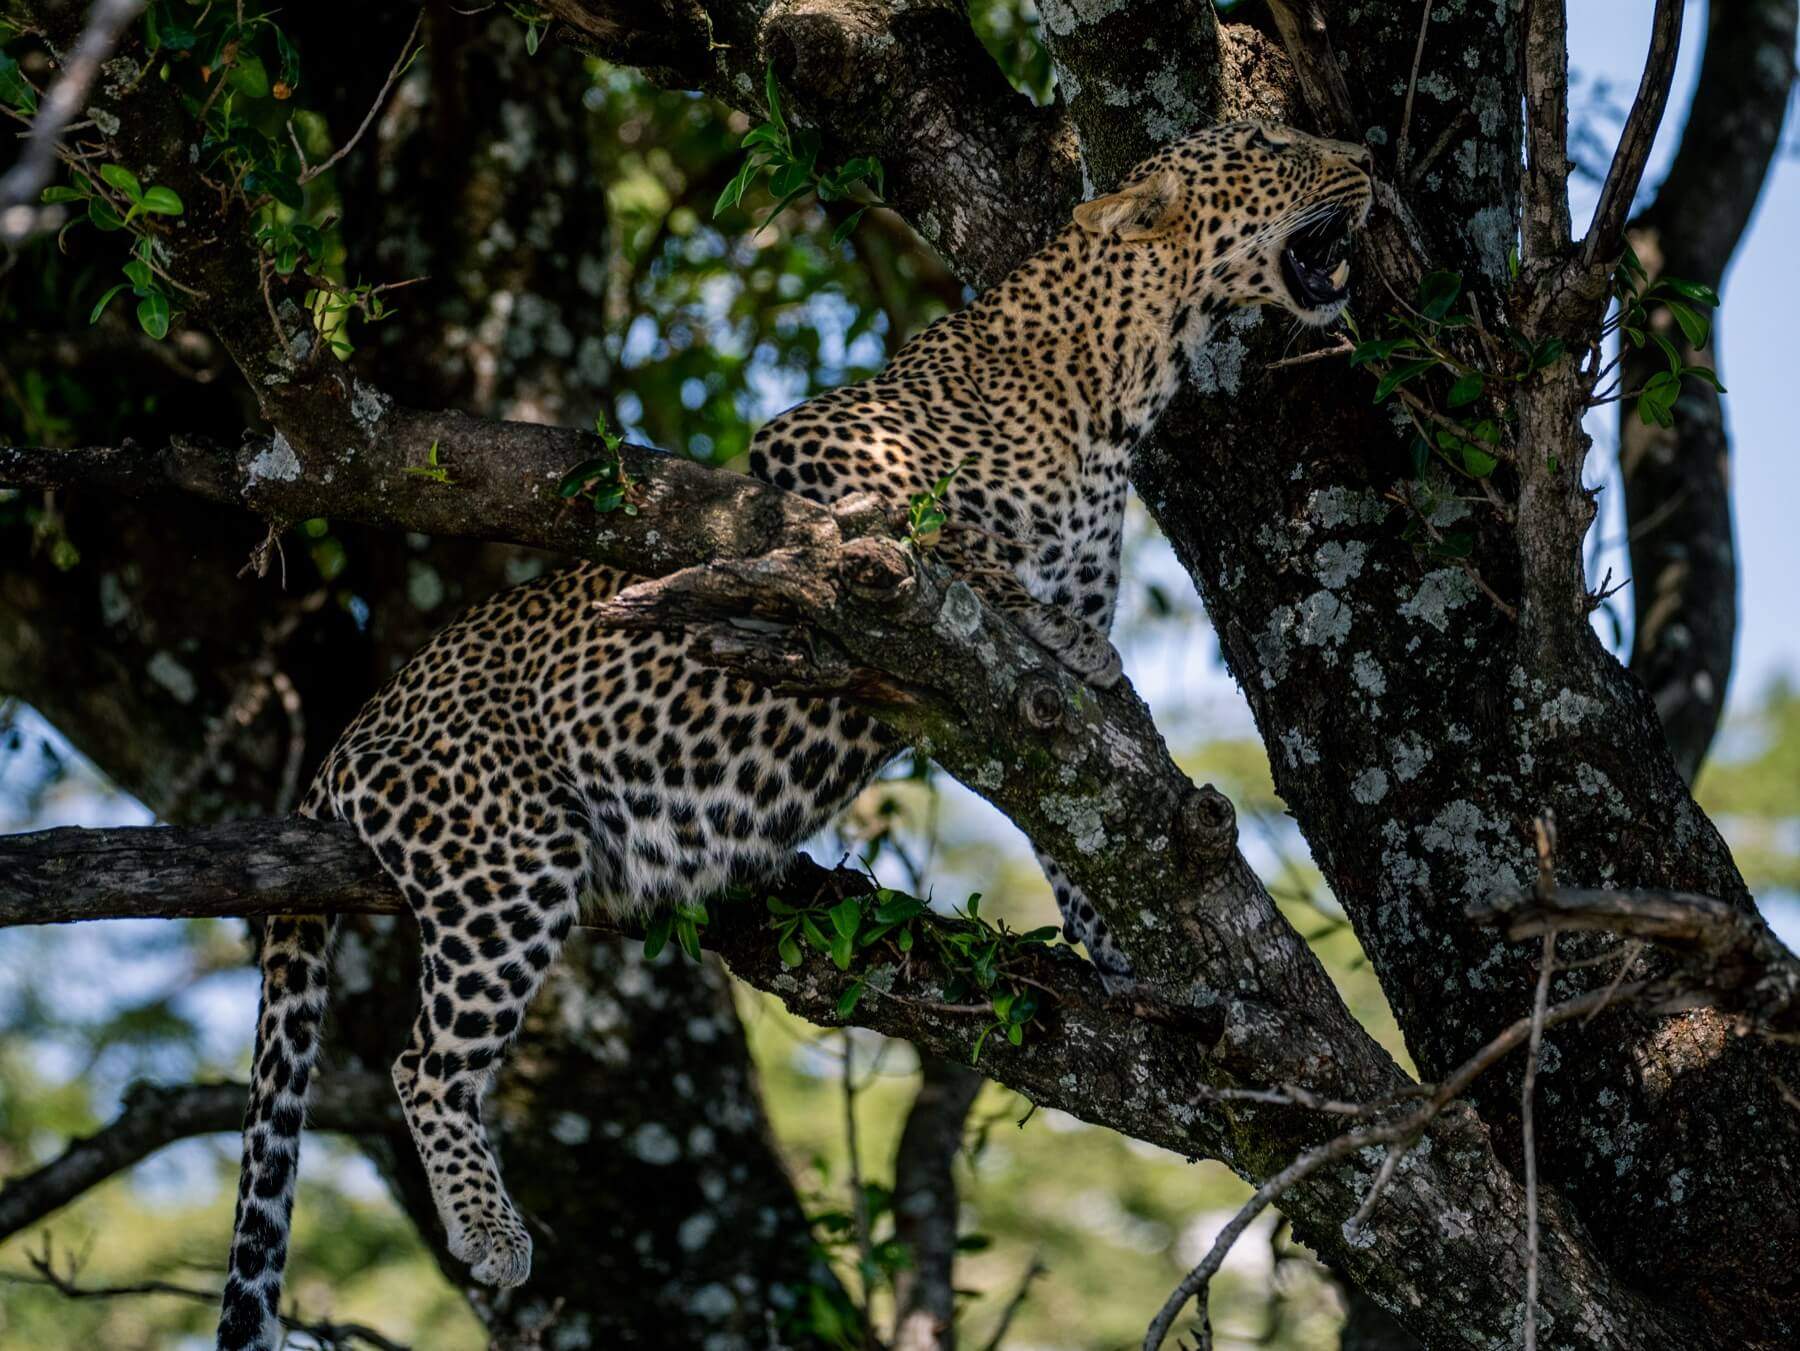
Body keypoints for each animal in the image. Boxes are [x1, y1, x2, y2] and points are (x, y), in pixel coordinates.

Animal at [216, 119, 1372, 1350]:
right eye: (1277, 145)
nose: (1363, 156)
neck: (1118, 384)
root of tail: (348, 740)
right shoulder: (805, 462)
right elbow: (940, 543)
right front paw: (1039, 614)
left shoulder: (1043, 732)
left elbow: (1087, 828)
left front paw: (1130, 960)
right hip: (506, 863)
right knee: (422, 1063)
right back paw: (491, 1230)